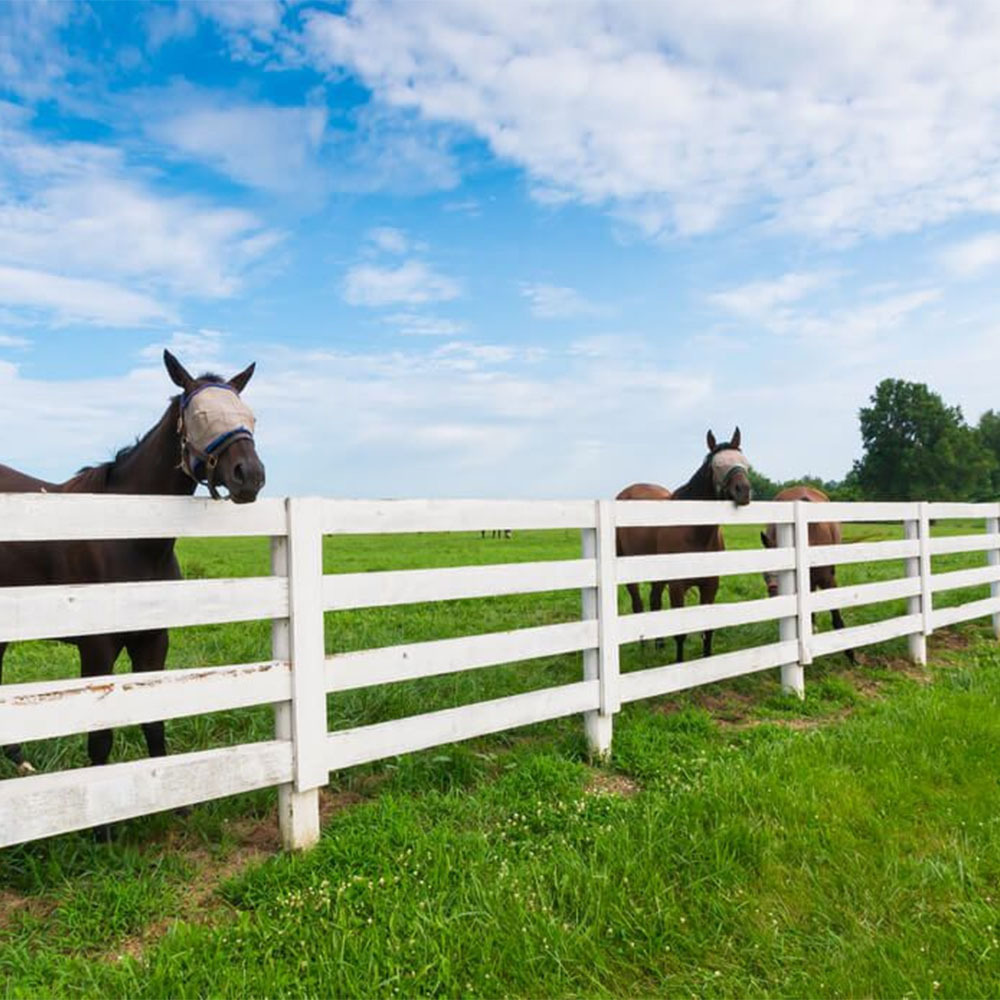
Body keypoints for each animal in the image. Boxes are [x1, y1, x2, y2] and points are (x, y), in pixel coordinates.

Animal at [0, 352, 264, 780]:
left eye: (250, 416)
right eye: (200, 414)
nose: (250, 475)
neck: (131, 536)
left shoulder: (153, 641)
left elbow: (154, 723)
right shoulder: (97, 648)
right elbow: (100, 739)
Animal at [616, 426, 752, 660]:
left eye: (745, 462)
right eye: (717, 465)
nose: (743, 490)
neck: (695, 530)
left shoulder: (710, 585)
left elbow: (708, 629)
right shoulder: (677, 585)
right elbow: (681, 634)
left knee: (654, 600)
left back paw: (658, 644)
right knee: (638, 603)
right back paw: (643, 647)